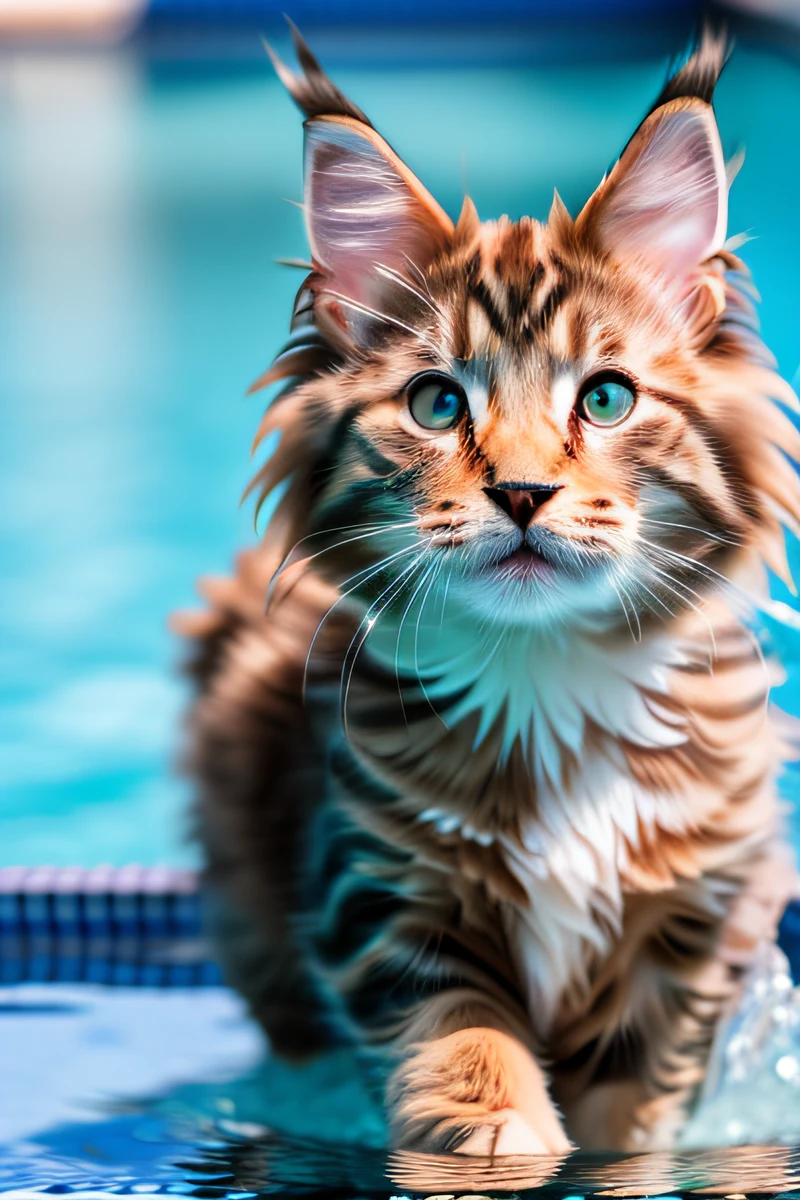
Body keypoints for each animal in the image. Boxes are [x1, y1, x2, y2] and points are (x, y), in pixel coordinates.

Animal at [175, 25, 800, 1152]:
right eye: (435, 403)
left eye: (605, 399)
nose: (520, 491)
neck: (551, 684)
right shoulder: (383, 894)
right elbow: (467, 1059)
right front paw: (499, 1145)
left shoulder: (689, 923)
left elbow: (629, 1115)